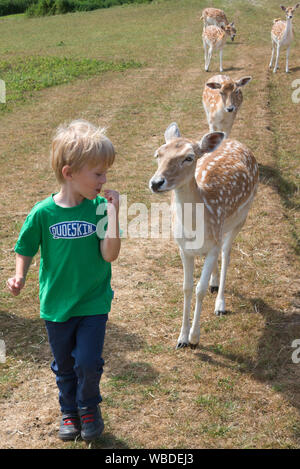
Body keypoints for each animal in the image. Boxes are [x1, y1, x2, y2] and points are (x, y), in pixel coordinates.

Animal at [149, 122, 258, 350]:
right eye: (158, 154)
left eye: (189, 157)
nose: (156, 182)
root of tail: (236, 141)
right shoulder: (183, 248)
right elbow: (187, 288)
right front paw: (181, 338)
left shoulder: (214, 241)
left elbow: (199, 290)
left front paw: (194, 337)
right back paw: (214, 284)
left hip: (241, 217)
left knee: (226, 253)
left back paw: (220, 304)